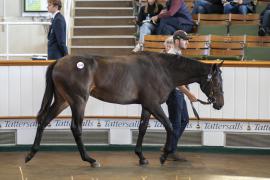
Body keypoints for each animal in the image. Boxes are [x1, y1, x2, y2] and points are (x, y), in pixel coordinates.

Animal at [24, 51, 224, 167]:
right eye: (216, 81)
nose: (219, 104)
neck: (162, 70)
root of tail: (58, 62)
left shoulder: (147, 106)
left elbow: (142, 129)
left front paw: (141, 157)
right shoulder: (154, 104)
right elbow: (170, 126)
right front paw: (164, 156)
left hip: (63, 101)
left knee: (43, 121)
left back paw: (31, 154)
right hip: (78, 101)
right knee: (76, 128)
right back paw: (90, 160)